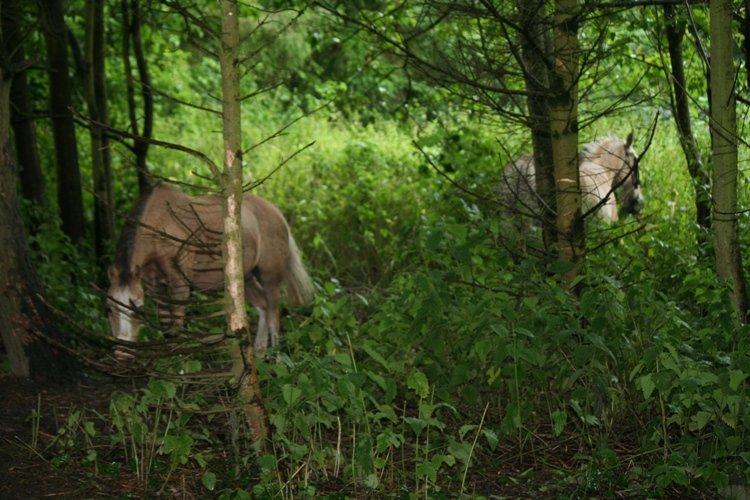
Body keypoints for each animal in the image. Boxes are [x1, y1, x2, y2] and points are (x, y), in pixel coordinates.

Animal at [107, 183, 312, 356]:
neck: (160, 224)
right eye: (108, 308)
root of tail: (276, 213)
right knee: (263, 307)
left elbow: (177, 325)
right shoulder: (154, 286)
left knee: (273, 315)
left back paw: (277, 360)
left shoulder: (179, 285)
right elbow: (166, 325)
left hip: (270, 279)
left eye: (139, 309)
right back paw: (259, 355)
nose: (123, 354)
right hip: (245, 278)